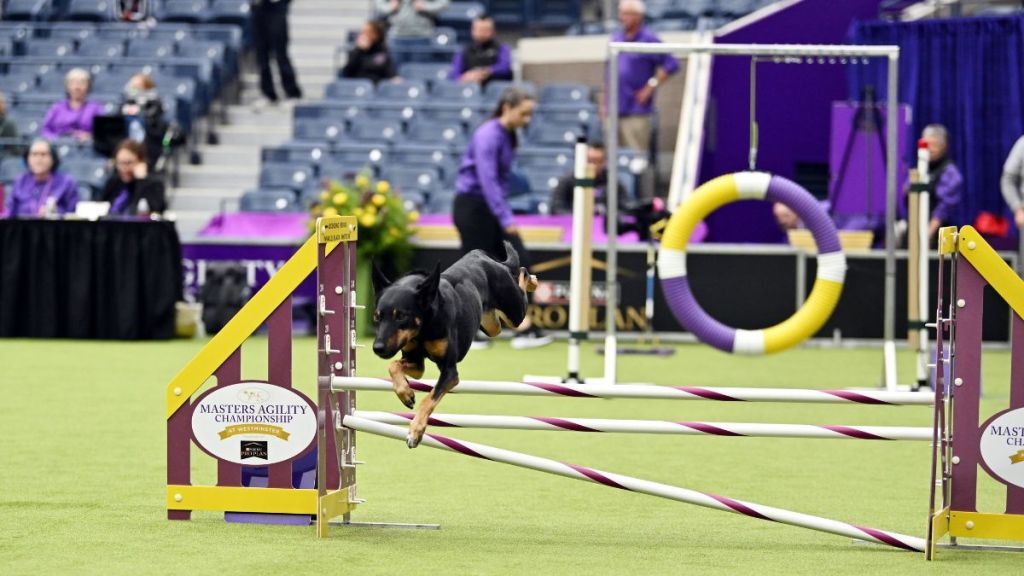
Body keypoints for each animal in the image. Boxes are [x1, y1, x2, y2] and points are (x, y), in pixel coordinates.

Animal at [374, 239, 536, 446]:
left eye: (401, 316)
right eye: (377, 316)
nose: (377, 348)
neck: (425, 326)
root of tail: (483, 256)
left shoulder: (450, 372)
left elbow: (430, 397)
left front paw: (415, 431)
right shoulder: (416, 363)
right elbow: (393, 366)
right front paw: (406, 394)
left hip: (515, 313)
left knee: (522, 273)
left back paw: (532, 281)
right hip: (491, 324)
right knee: (498, 324)